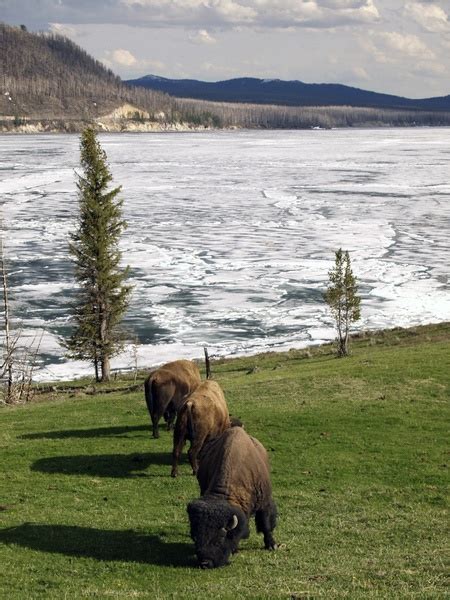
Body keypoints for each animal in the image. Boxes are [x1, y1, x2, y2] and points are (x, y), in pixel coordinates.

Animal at [186, 426, 278, 568]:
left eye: (219, 539)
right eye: (195, 537)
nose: (205, 563)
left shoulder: (265, 503)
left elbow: (266, 525)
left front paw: (272, 545)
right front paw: (235, 549)